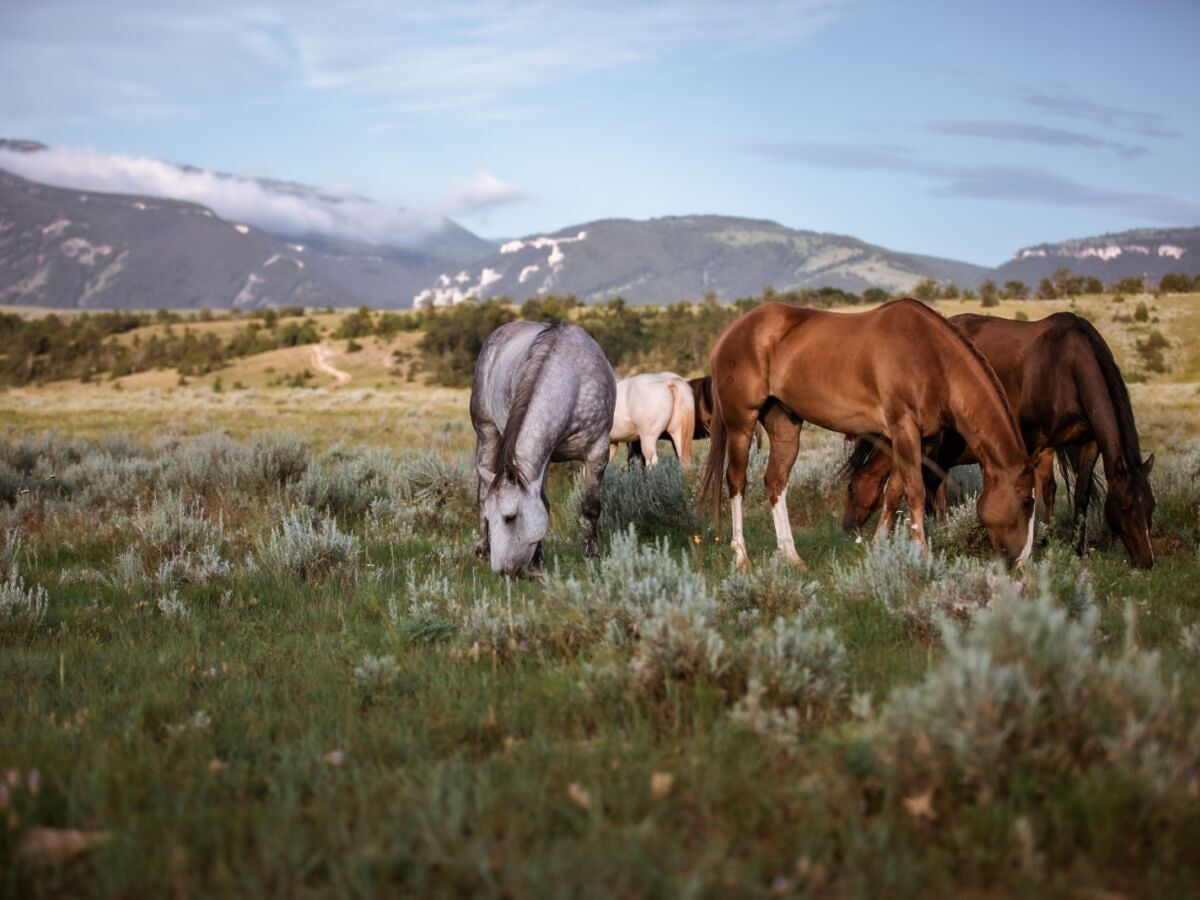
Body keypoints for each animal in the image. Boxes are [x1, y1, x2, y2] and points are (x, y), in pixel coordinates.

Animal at [468, 321, 619, 578]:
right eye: (492, 517)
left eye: (510, 517)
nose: (502, 573)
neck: (573, 383)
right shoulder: (542, 461)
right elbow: (544, 505)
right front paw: (538, 560)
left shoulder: (598, 449)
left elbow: (590, 506)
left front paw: (592, 556)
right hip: (486, 432)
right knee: (482, 490)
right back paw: (482, 548)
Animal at [700, 303, 1036, 571]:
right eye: (1026, 502)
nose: (1021, 561)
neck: (930, 357)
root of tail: (731, 332)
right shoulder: (903, 430)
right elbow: (915, 492)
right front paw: (923, 557)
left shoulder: (921, 439)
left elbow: (894, 492)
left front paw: (878, 549)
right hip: (741, 423)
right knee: (737, 482)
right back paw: (742, 557)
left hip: (784, 423)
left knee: (775, 482)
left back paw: (791, 556)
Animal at [844, 314, 1152, 566]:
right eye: (1126, 508)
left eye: (1150, 505)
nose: (1146, 561)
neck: (1066, 365)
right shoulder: (1030, 440)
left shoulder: (1089, 442)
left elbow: (1080, 494)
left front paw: (1077, 549)